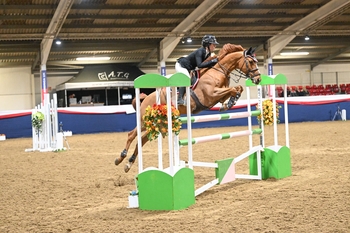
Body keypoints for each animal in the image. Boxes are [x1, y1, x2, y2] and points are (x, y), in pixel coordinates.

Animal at [115, 43, 260, 172]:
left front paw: (229, 103)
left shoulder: (218, 96)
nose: (258, 79)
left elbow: (237, 89)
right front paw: (231, 101)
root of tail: (146, 98)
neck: (218, 71)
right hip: (145, 121)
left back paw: (128, 164)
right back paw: (120, 157)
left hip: (159, 122)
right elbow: (233, 89)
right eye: (251, 62)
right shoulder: (211, 94)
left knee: (142, 139)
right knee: (132, 134)